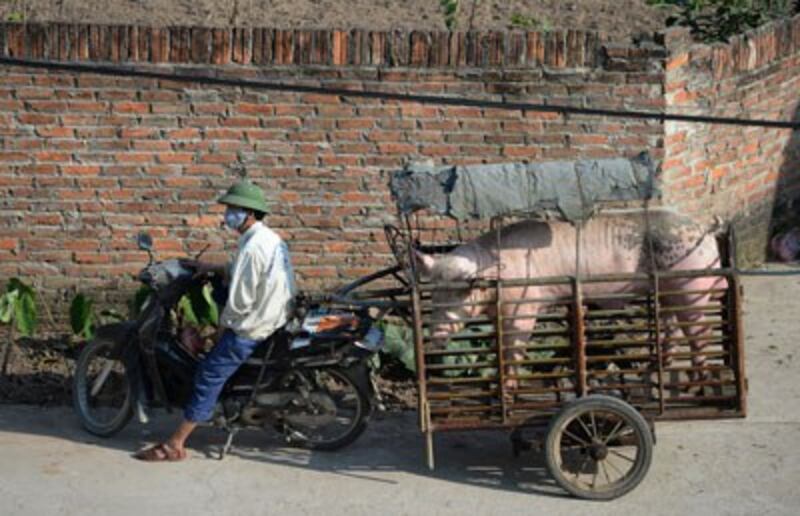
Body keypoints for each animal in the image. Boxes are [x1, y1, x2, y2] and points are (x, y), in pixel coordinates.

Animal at [416, 208, 728, 390]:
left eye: (462, 293)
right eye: (435, 293)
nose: (435, 335)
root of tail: (705, 227)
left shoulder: (524, 307)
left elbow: (515, 347)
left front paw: (509, 387)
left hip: (691, 285)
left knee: (699, 334)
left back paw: (694, 385)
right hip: (669, 289)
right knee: (672, 327)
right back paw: (654, 369)